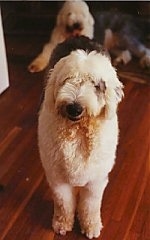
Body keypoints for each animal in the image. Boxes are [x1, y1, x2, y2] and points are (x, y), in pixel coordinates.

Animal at [38, 36, 123, 239]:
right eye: (67, 80)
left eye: (95, 84)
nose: (74, 108)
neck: (77, 132)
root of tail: (79, 36)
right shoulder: (57, 178)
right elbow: (63, 204)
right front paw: (62, 224)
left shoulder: (96, 180)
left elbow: (90, 206)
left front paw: (91, 226)